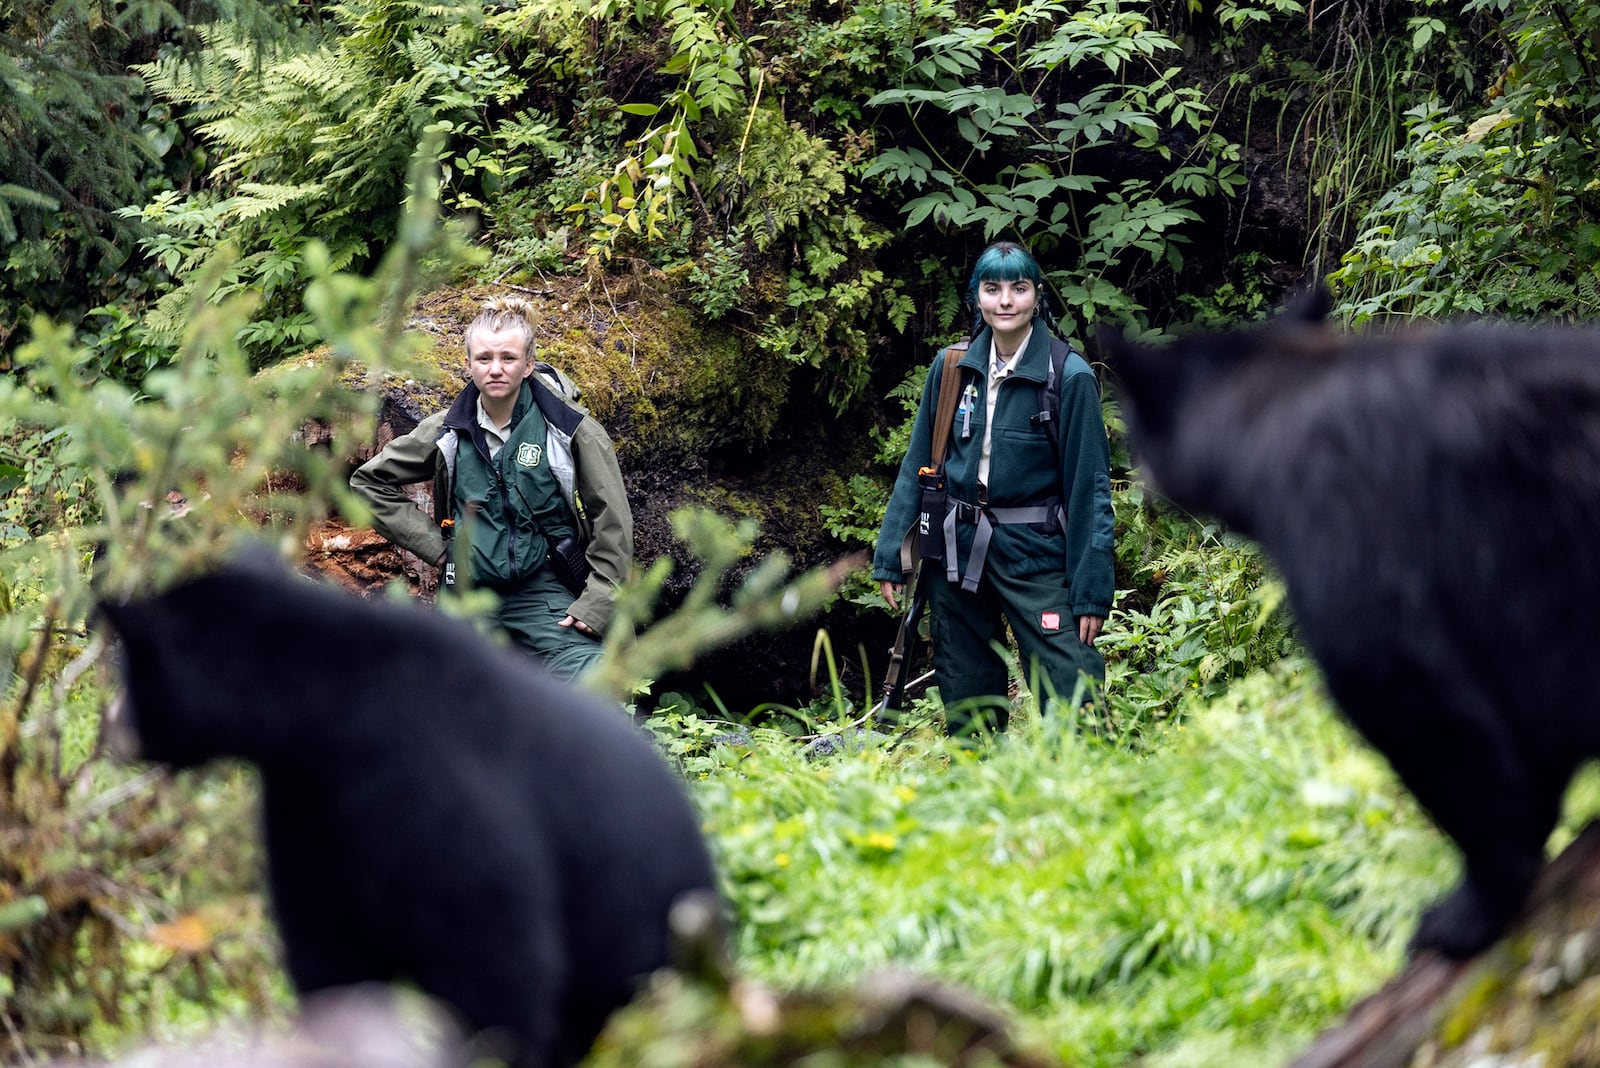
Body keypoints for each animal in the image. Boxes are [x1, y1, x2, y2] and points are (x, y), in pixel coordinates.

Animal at [100, 559, 720, 1068]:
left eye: (130, 673)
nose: (110, 730)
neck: (331, 719)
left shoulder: (439, 785)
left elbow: (491, 952)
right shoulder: (308, 806)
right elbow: (329, 947)